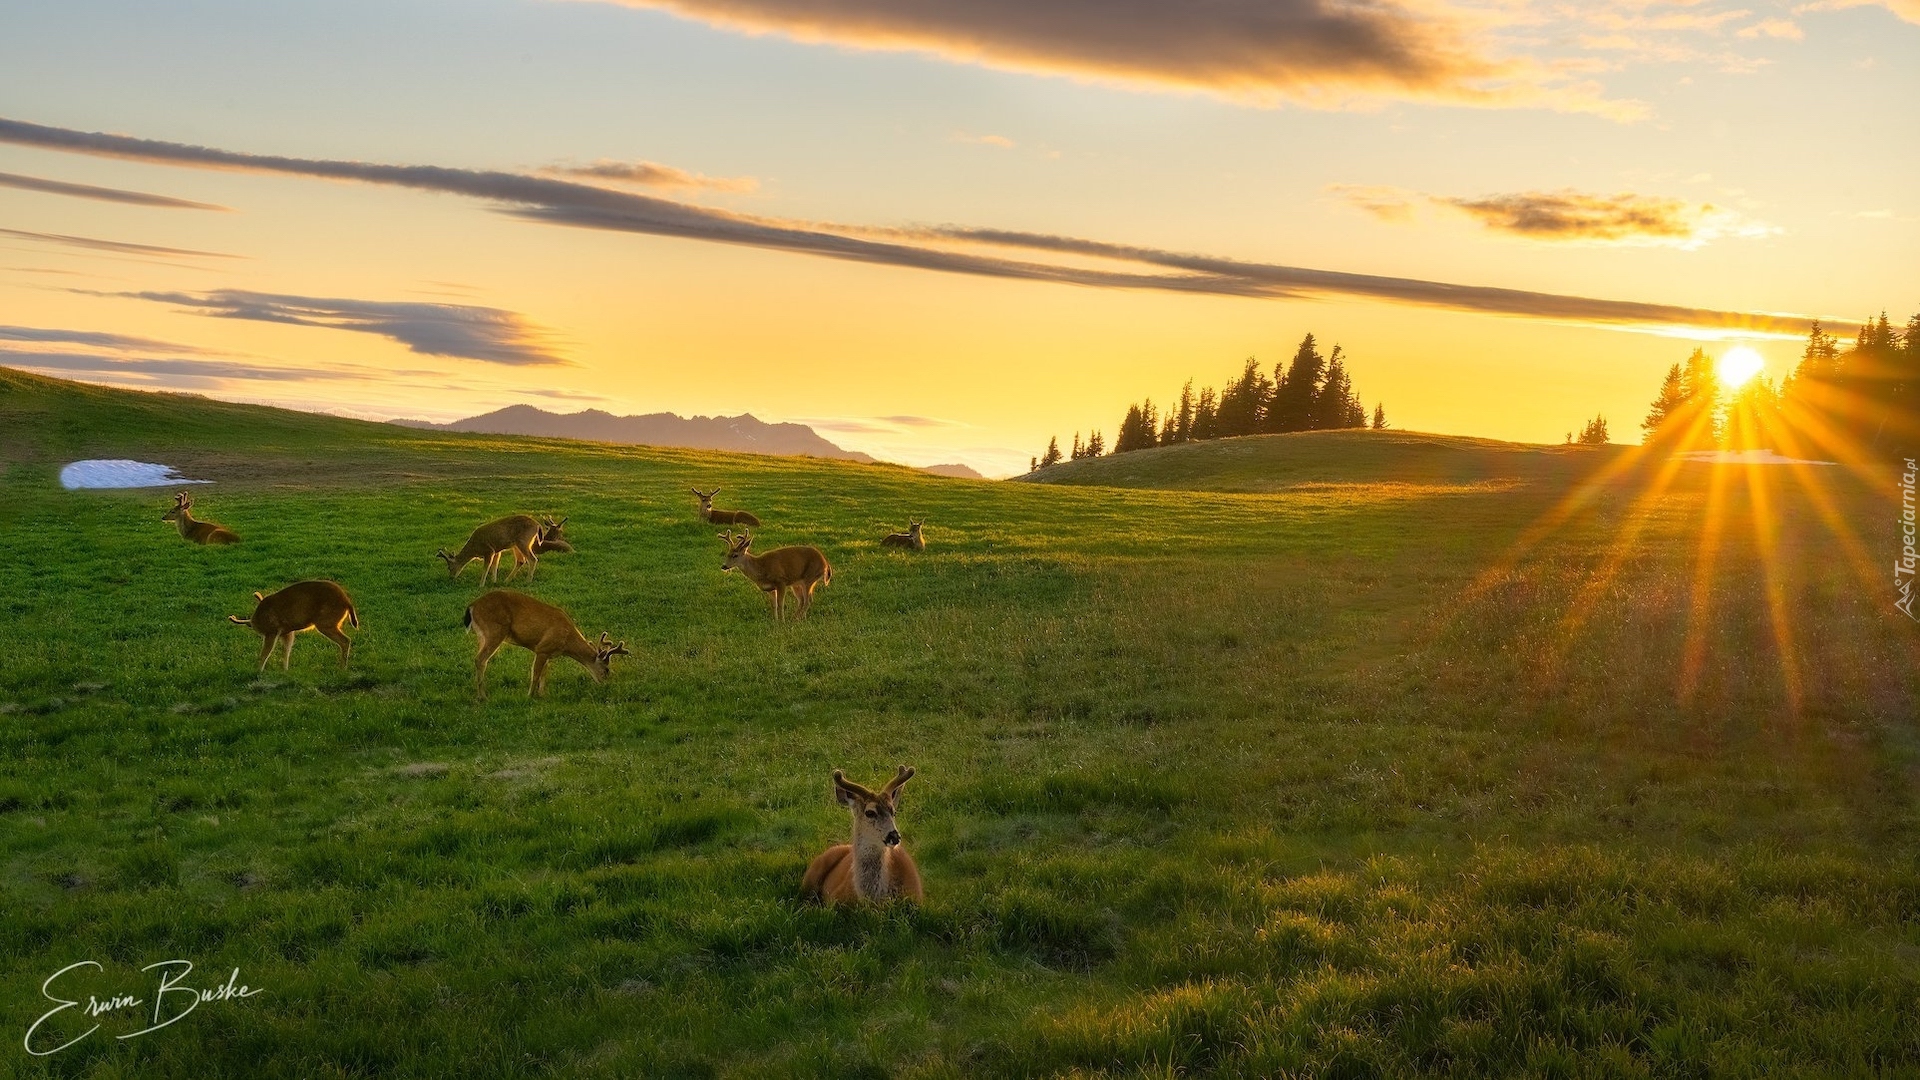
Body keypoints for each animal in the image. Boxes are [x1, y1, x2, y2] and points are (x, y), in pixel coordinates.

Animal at [226, 576, 359, 668]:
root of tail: (347, 602)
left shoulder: (272, 631)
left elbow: (264, 654)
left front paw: (258, 671)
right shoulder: (286, 632)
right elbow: (286, 652)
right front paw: (285, 671)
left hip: (325, 622)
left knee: (345, 640)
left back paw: (342, 668)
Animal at [430, 511, 560, 580]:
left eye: (449, 567)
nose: (451, 577)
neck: (474, 549)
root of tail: (538, 525)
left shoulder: (489, 550)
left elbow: (486, 567)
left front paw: (481, 585)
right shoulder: (497, 551)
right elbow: (494, 566)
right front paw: (494, 581)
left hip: (522, 541)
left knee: (532, 559)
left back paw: (527, 580)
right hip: (516, 544)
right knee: (521, 560)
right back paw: (507, 580)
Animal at [460, 588, 625, 699]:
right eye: (607, 670)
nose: (605, 685)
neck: (567, 642)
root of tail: (472, 606)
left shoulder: (549, 653)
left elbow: (544, 673)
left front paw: (542, 694)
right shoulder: (542, 649)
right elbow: (536, 674)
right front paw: (529, 695)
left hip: (482, 636)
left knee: (479, 658)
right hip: (495, 630)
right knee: (480, 659)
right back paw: (483, 696)